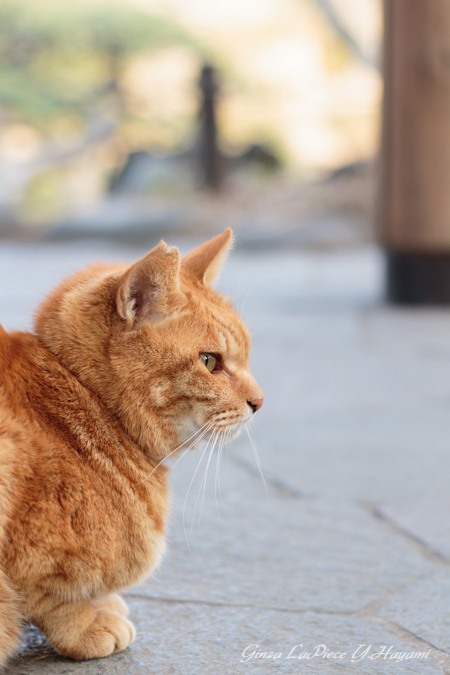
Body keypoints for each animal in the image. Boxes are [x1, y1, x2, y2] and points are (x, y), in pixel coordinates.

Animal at [0, 230, 262, 668]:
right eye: (210, 361)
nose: (259, 402)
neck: (88, 401)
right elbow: (47, 596)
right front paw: (87, 623)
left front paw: (102, 605)